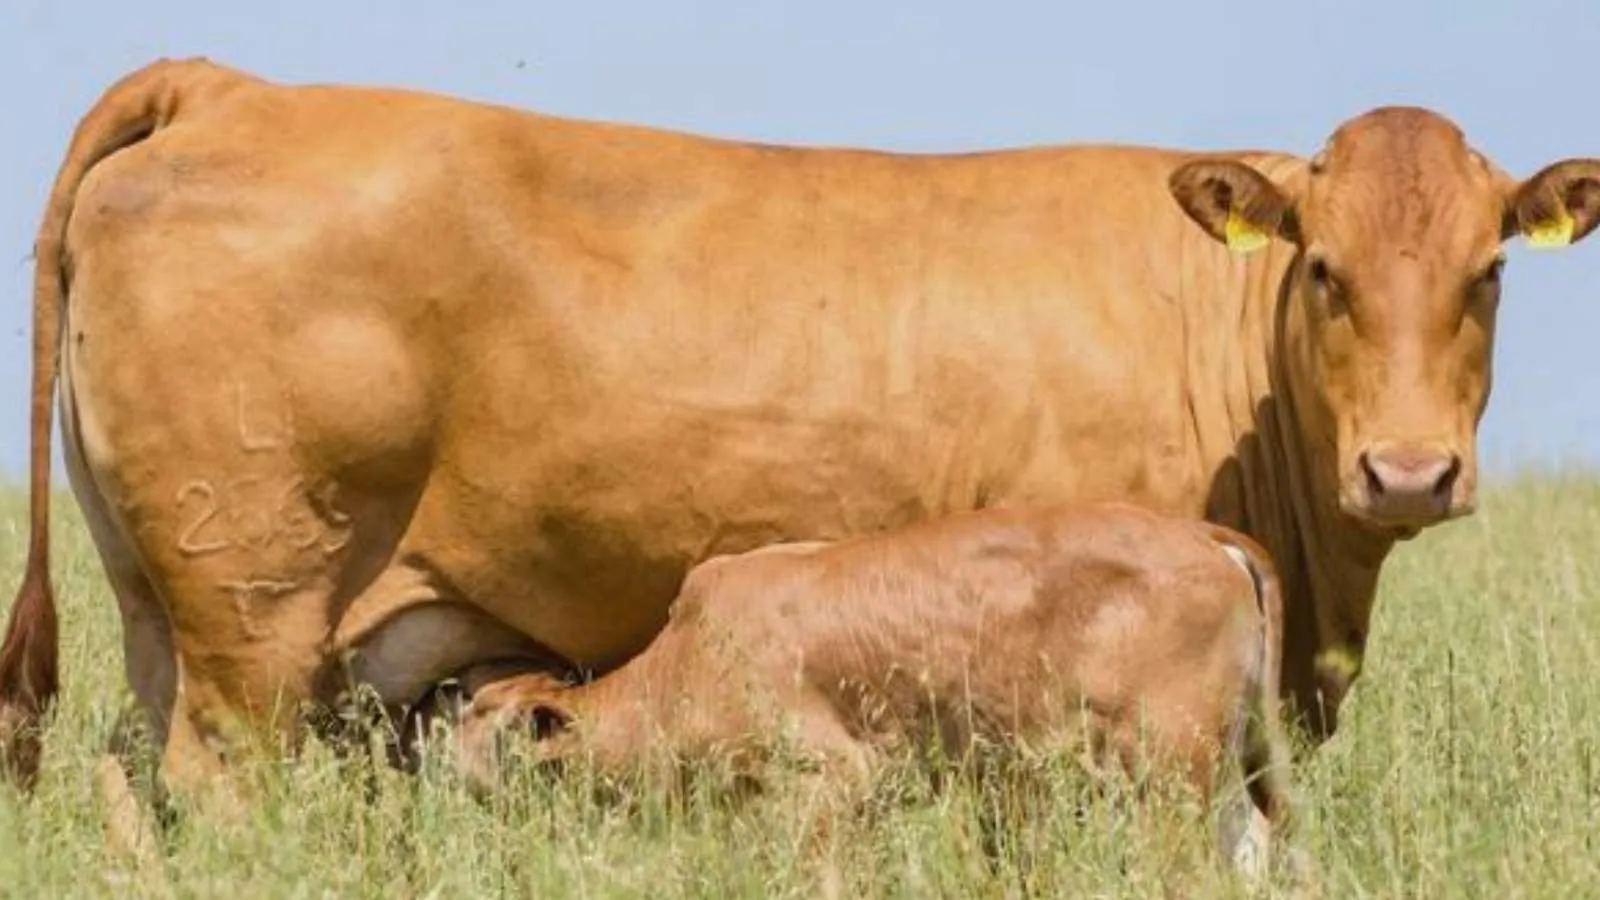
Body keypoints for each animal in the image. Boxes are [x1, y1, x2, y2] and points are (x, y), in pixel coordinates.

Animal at [3, 56, 1600, 791]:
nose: (1409, 470)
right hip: (252, 628)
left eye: (1488, 270)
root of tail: (235, 87)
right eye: (1323, 267)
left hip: (169, 611)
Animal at [451, 506, 1299, 877]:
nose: (445, 768)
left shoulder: (830, 781)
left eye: (482, 733)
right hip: (1229, 759)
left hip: (1167, 765)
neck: (680, 667)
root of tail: (1208, 535)